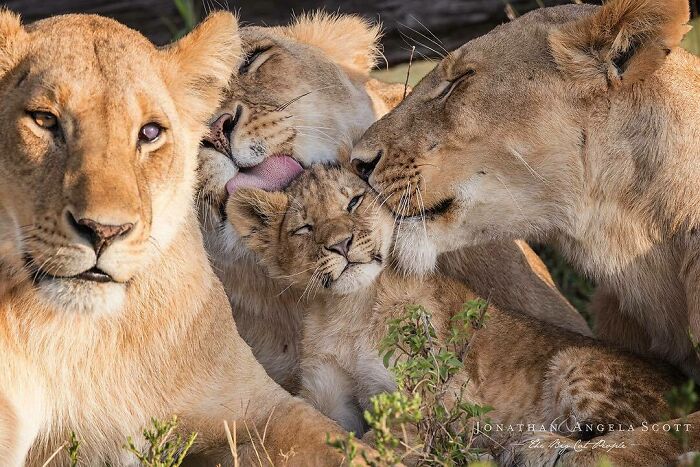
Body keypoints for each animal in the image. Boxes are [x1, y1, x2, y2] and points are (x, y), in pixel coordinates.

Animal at [0, 10, 350, 466]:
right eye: (44, 120)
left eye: (150, 133)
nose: (104, 231)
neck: (87, 333)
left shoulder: (262, 406)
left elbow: (348, 446)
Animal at [226, 164, 684, 463]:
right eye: (304, 228)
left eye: (354, 202)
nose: (340, 244)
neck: (348, 310)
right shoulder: (329, 397)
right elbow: (322, 435)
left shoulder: (445, 396)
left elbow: (384, 441)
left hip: (575, 363)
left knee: (643, 440)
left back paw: (534, 448)